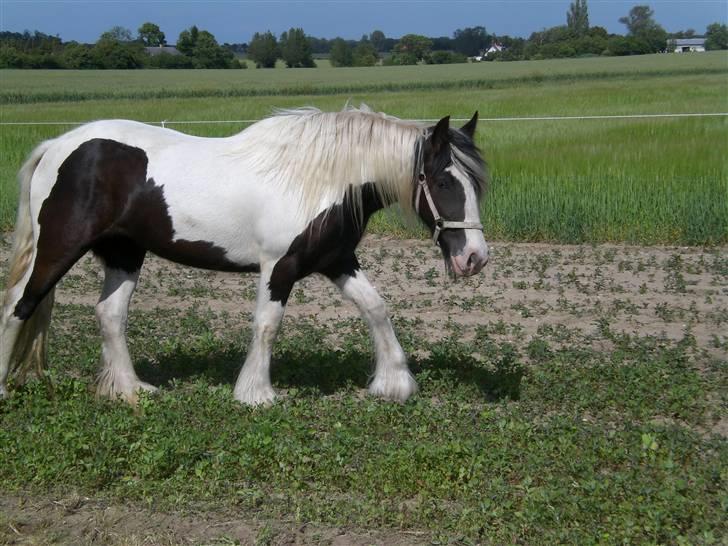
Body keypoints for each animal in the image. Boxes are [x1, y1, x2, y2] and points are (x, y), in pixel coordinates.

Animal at [2, 105, 490, 404]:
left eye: (476, 184)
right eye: (443, 182)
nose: (474, 258)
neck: (320, 178)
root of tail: (58, 147)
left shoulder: (337, 260)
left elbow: (376, 308)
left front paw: (393, 383)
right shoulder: (279, 266)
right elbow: (268, 325)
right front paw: (256, 393)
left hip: (125, 254)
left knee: (109, 315)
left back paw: (130, 390)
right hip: (59, 248)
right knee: (18, 306)